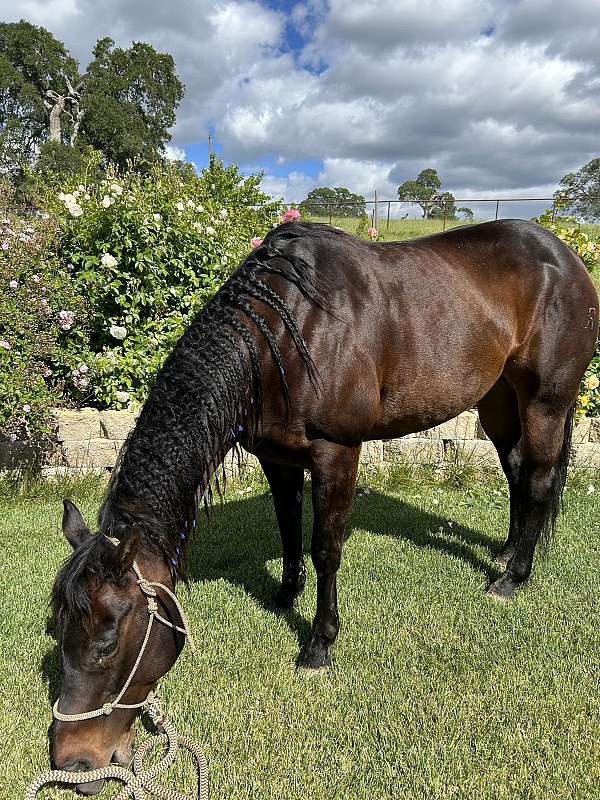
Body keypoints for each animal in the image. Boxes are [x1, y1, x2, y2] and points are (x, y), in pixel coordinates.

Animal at [50, 220, 598, 792]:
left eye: (108, 641)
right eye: (57, 631)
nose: (73, 764)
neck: (285, 332)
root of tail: (564, 254)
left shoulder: (337, 452)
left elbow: (324, 547)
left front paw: (319, 643)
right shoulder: (278, 457)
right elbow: (289, 529)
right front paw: (284, 595)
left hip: (547, 400)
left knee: (538, 481)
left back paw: (513, 577)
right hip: (496, 395)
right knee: (514, 469)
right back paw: (507, 552)